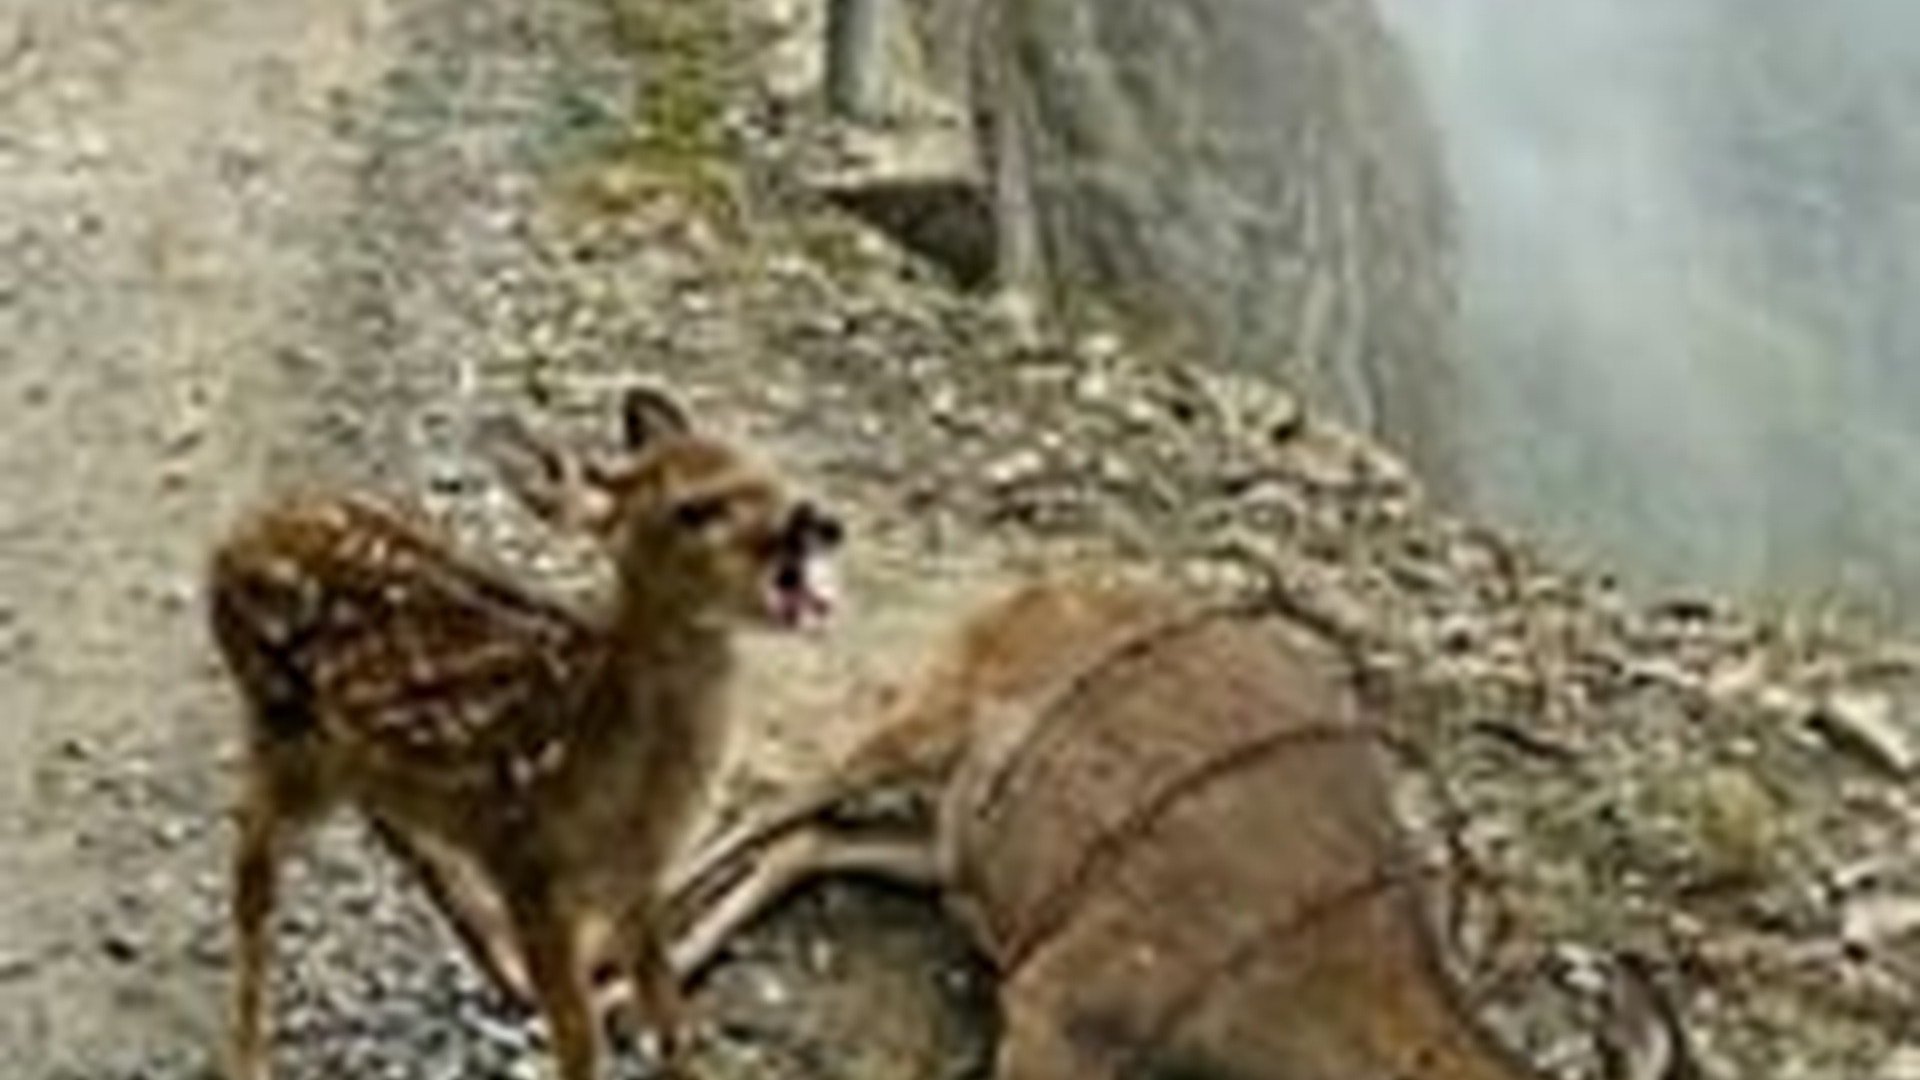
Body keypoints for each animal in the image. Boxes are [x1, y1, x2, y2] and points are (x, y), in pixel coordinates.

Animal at [204, 385, 843, 1080]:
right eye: (696, 509)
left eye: (767, 469)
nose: (816, 520)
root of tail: (229, 544)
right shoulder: (528, 864)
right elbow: (581, 1044)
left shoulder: (636, 877)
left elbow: (672, 1020)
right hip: (280, 724)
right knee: (253, 872)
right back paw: (247, 1058)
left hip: (351, 756)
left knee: (392, 827)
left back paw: (504, 977)